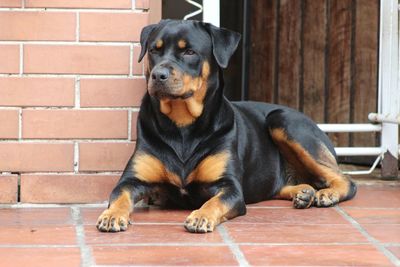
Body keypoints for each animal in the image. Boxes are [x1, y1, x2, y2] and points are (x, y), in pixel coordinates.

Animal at [97, 19, 356, 234]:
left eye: (189, 51)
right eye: (154, 50)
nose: (158, 75)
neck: (182, 126)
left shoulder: (229, 186)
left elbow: (215, 201)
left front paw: (200, 216)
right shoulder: (132, 180)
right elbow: (119, 194)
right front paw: (111, 215)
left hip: (284, 121)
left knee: (346, 181)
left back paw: (328, 193)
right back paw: (304, 192)